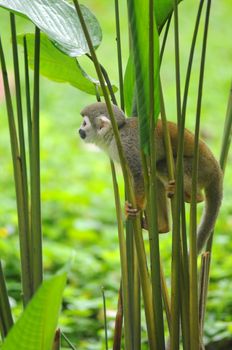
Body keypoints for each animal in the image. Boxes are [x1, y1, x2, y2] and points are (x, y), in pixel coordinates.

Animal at [78, 102, 223, 253]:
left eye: (84, 123)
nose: (79, 130)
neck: (115, 134)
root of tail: (216, 168)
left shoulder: (126, 145)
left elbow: (140, 174)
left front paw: (136, 208)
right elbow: (135, 176)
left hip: (200, 169)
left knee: (161, 165)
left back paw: (194, 197)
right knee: (155, 178)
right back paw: (163, 227)